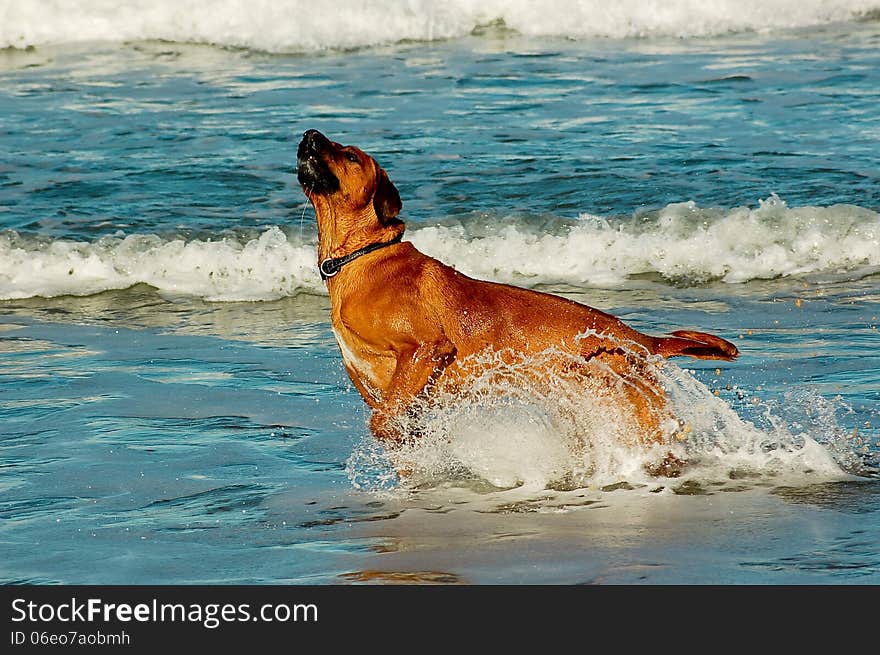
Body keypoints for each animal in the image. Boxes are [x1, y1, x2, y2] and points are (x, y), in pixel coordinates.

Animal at [300, 128, 740, 468]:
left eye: (350, 155)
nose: (309, 134)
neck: (360, 257)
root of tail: (641, 340)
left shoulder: (425, 349)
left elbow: (385, 420)